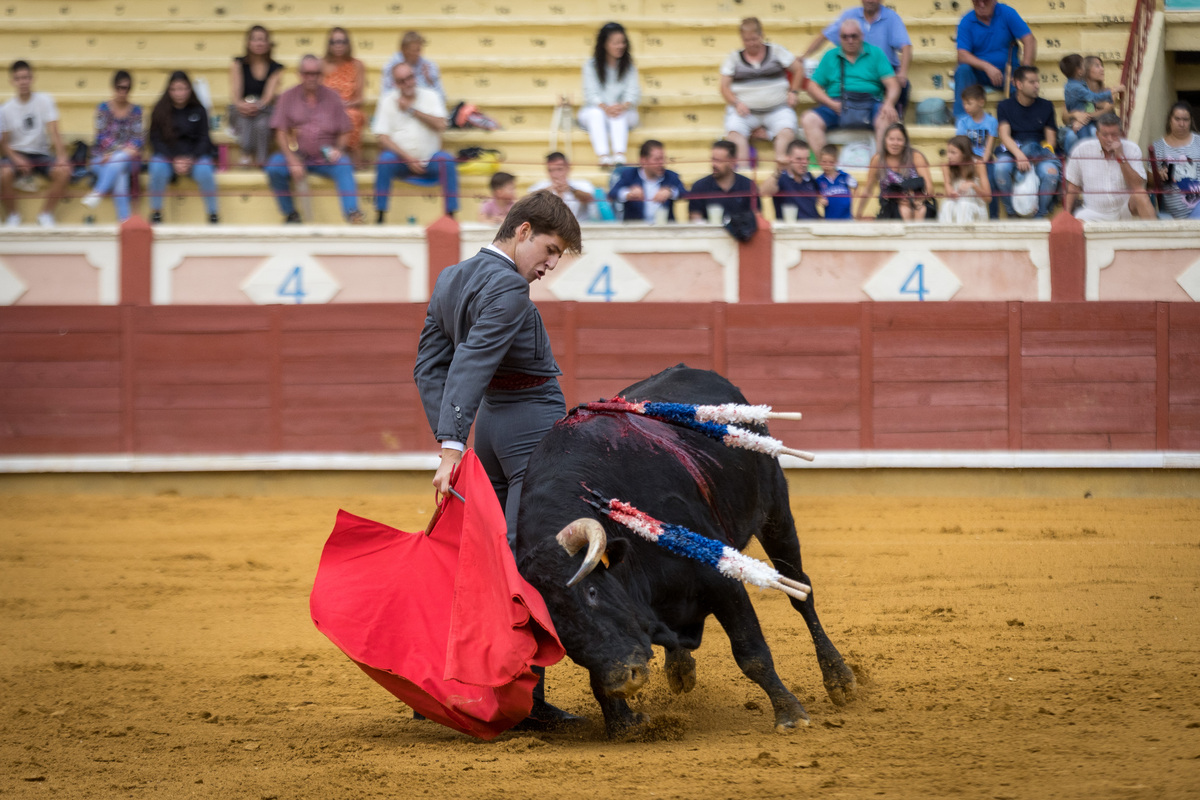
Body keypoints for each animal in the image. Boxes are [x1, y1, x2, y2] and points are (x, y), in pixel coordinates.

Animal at [513, 367, 854, 734]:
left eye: (591, 591)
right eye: (554, 631)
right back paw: (679, 667)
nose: (624, 679)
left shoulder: (720, 578)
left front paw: (789, 714)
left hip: (776, 513)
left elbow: (751, 652)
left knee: (799, 591)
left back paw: (839, 679)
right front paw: (624, 722)